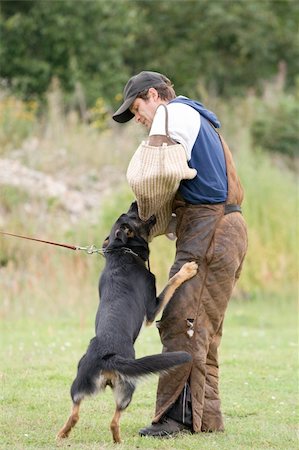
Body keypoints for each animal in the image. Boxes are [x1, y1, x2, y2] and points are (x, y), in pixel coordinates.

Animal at [57, 203, 198, 442]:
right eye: (131, 215)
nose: (134, 203)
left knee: (76, 413)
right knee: (113, 421)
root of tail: (108, 356)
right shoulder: (152, 308)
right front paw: (187, 270)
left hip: (80, 384)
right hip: (128, 388)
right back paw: (118, 440)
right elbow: (171, 282)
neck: (122, 251)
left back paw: (64, 434)